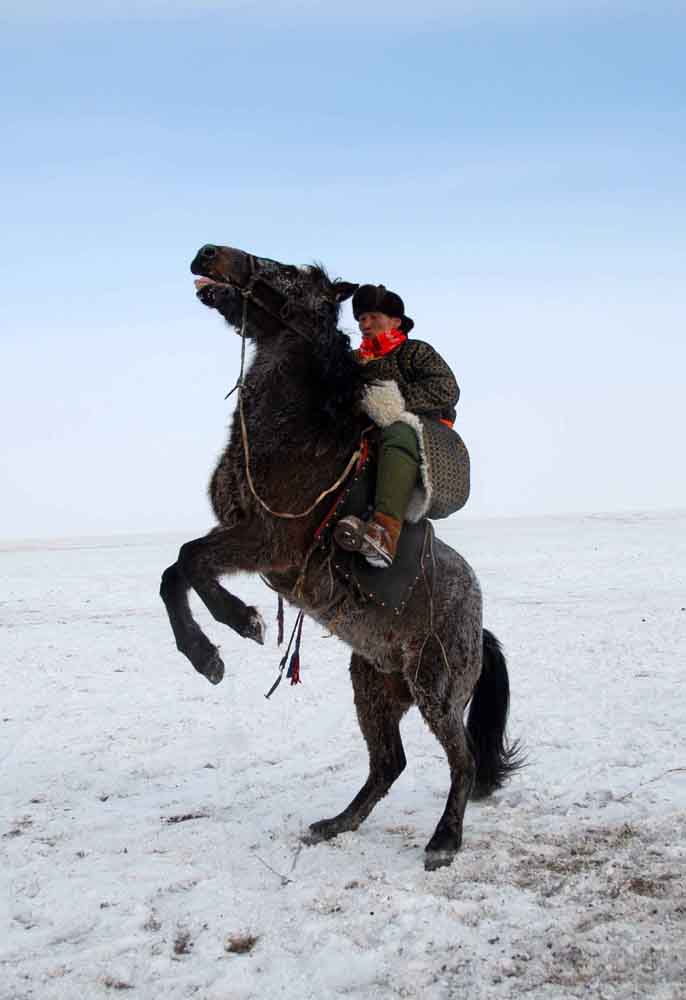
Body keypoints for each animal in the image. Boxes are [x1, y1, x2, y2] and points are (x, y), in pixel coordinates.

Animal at [161, 244, 524, 868]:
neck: (298, 434)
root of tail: (478, 625)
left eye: (285, 270)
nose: (208, 254)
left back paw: (443, 842)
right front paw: (211, 649)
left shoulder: (268, 542)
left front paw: (236, 628)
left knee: (462, 759)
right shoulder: (242, 536)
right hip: (373, 685)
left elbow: (189, 562)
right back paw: (335, 824)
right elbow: (176, 571)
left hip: (436, 688)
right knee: (388, 763)